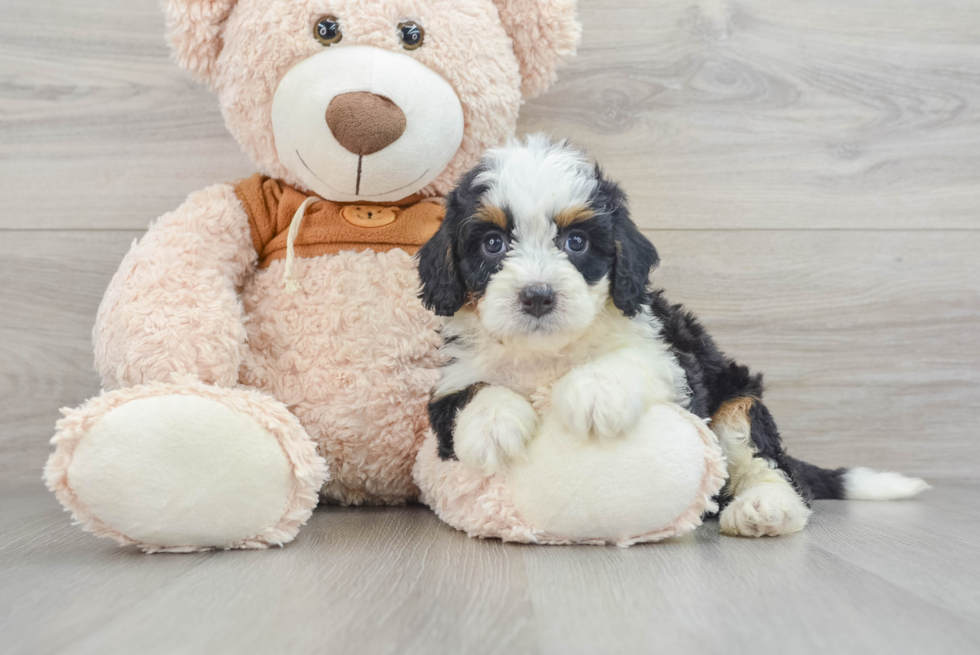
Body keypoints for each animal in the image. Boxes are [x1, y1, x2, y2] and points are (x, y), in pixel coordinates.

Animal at [418, 135, 932, 540]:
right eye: (493, 244)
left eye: (576, 242)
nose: (538, 296)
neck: (548, 354)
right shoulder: (451, 379)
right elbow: (468, 394)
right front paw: (492, 423)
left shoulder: (674, 359)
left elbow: (634, 358)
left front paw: (594, 391)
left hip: (736, 401)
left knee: (771, 467)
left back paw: (765, 509)